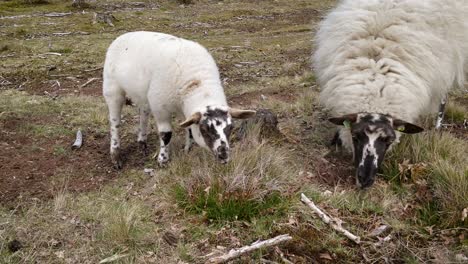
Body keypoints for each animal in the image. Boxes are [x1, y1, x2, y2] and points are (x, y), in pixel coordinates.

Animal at [103, 31, 256, 168]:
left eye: (231, 127)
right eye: (204, 129)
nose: (223, 155)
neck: (197, 82)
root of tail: (123, 35)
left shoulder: (186, 111)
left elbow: (189, 130)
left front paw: (188, 149)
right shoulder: (160, 108)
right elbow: (166, 135)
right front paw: (163, 159)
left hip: (142, 94)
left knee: (143, 113)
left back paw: (142, 142)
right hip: (112, 89)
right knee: (115, 123)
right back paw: (115, 155)